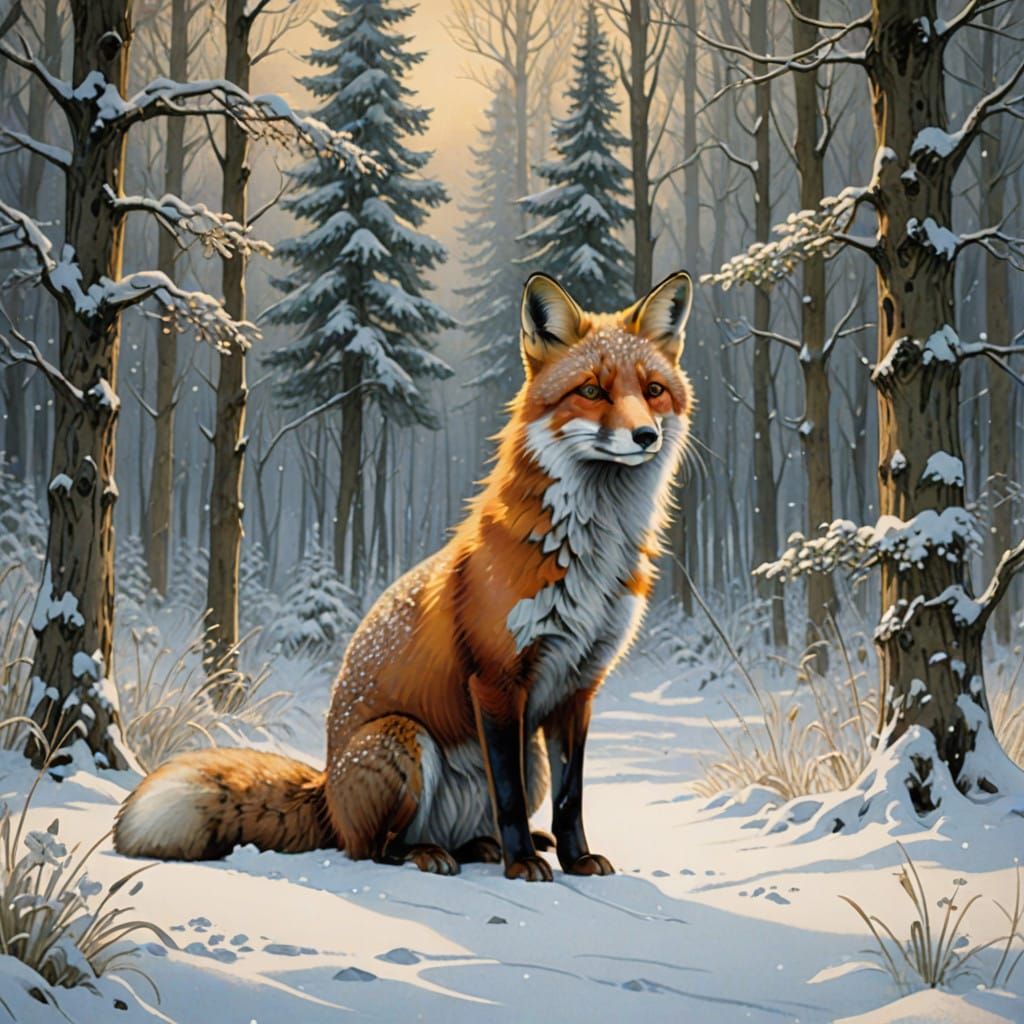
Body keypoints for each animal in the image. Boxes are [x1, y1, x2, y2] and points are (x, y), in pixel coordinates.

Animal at [114, 270, 694, 882]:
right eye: (592, 391)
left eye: (653, 390)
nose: (645, 436)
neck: (590, 559)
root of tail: (326, 790)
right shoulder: (495, 680)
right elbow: (508, 795)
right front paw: (522, 866)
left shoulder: (579, 685)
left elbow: (571, 795)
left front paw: (576, 857)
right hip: (403, 739)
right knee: (372, 847)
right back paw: (436, 853)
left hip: (524, 754)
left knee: (473, 825)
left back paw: (483, 846)